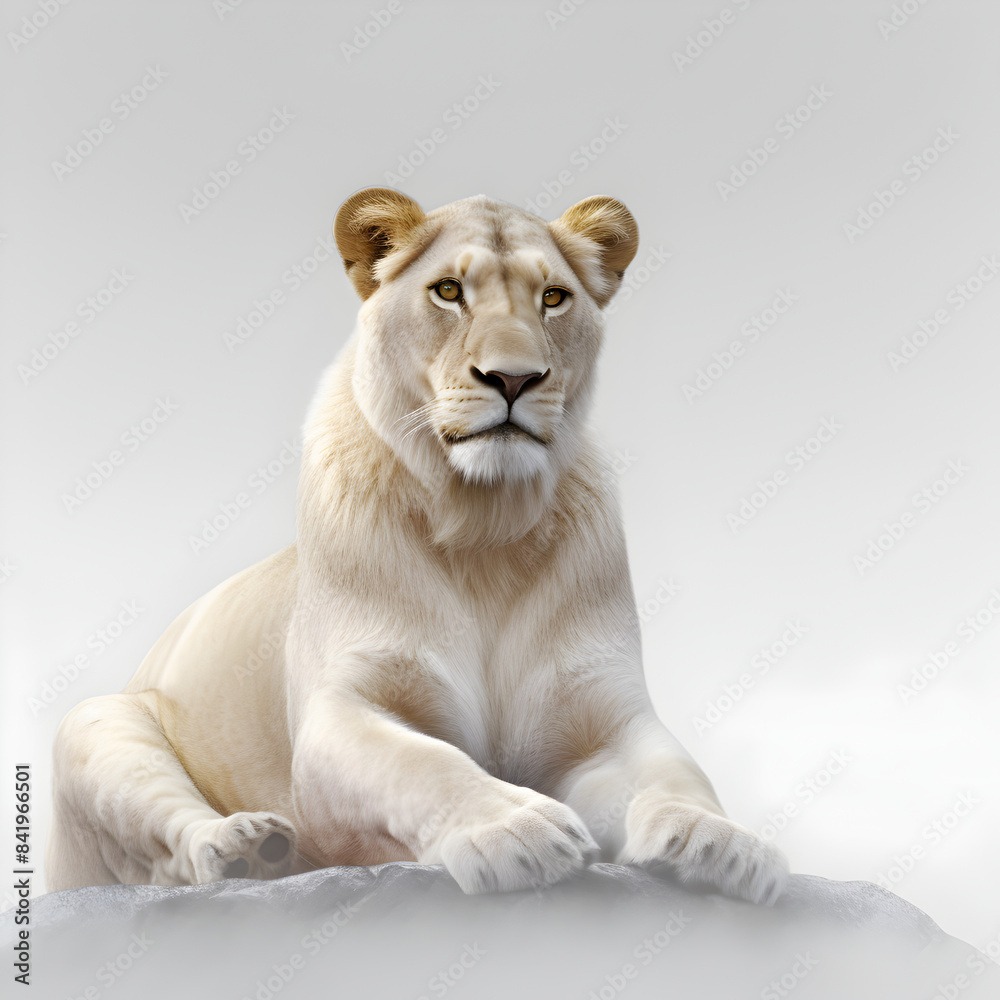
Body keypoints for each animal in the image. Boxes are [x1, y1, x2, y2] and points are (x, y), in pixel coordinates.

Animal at [47, 188, 789, 905]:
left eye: (553, 297)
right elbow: (427, 763)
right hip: (97, 725)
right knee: (166, 853)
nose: (514, 379)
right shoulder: (342, 711)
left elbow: (676, 775)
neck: (485, 525)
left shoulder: (605, 720)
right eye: (448, 291)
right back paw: (248, 847)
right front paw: (518, 832)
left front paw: (725, 845)